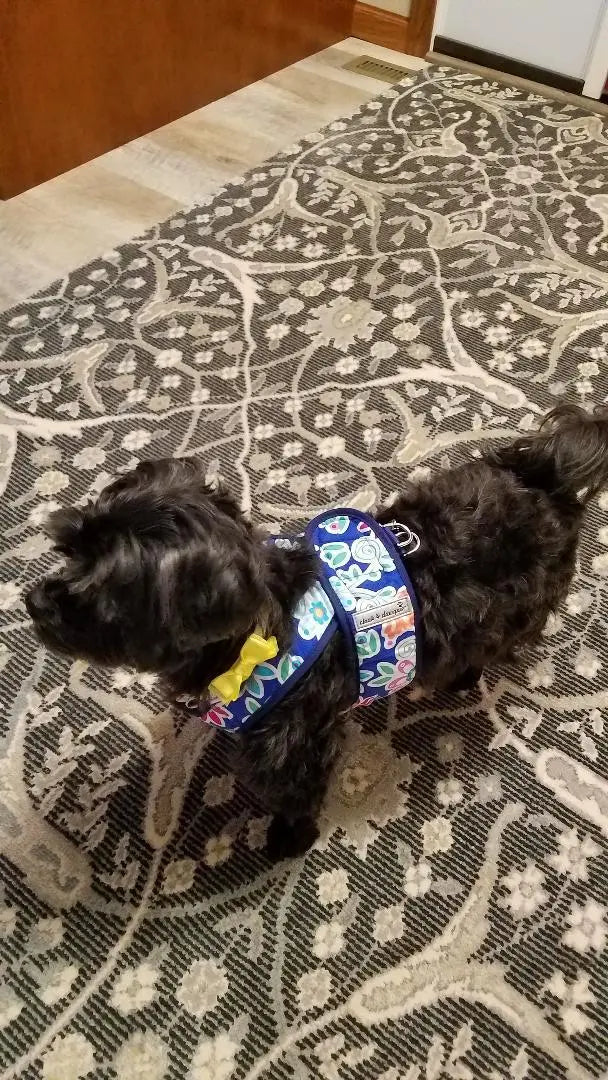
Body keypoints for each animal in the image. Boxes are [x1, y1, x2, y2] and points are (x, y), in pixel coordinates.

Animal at [25, 402, 608, 858]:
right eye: (68, 547)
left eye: (102, 598)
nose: (33, 601)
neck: (254, 639)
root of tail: (546, 475)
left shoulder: (297, 747)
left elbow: (296, 798)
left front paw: (288, 840)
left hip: (514, 613)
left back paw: (461, 678)